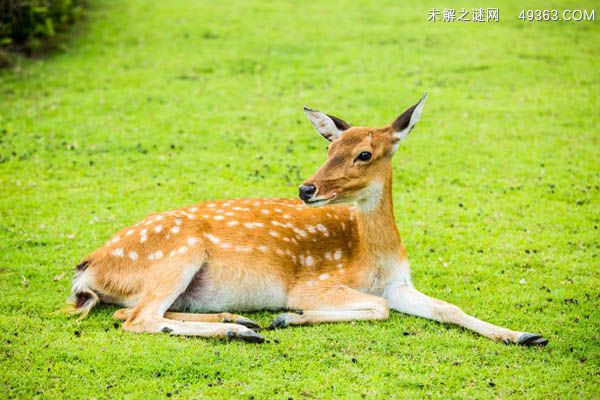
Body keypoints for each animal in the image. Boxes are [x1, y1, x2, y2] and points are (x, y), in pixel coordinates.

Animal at [67, 94, 548, 346]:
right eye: (329, 147)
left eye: (364, 153)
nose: (306, 189)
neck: (371, 257)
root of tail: (86, 271)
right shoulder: (312, 283)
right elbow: (378, 308)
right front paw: (288, 317)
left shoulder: (398, 284)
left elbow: (448, 308)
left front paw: (525, 335)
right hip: (178, 254)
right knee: (137, 318)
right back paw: (244, 331)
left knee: (129, 312)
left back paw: (239, 321)